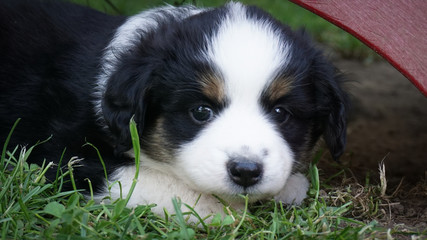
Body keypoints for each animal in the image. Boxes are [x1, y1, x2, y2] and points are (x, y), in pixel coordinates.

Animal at [0, 0, 348, 221]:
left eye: (280, 113)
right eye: (201, 111)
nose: (246, 172)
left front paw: (289, 186)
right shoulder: (58, 153)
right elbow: (147, 181)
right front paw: (217, 209)